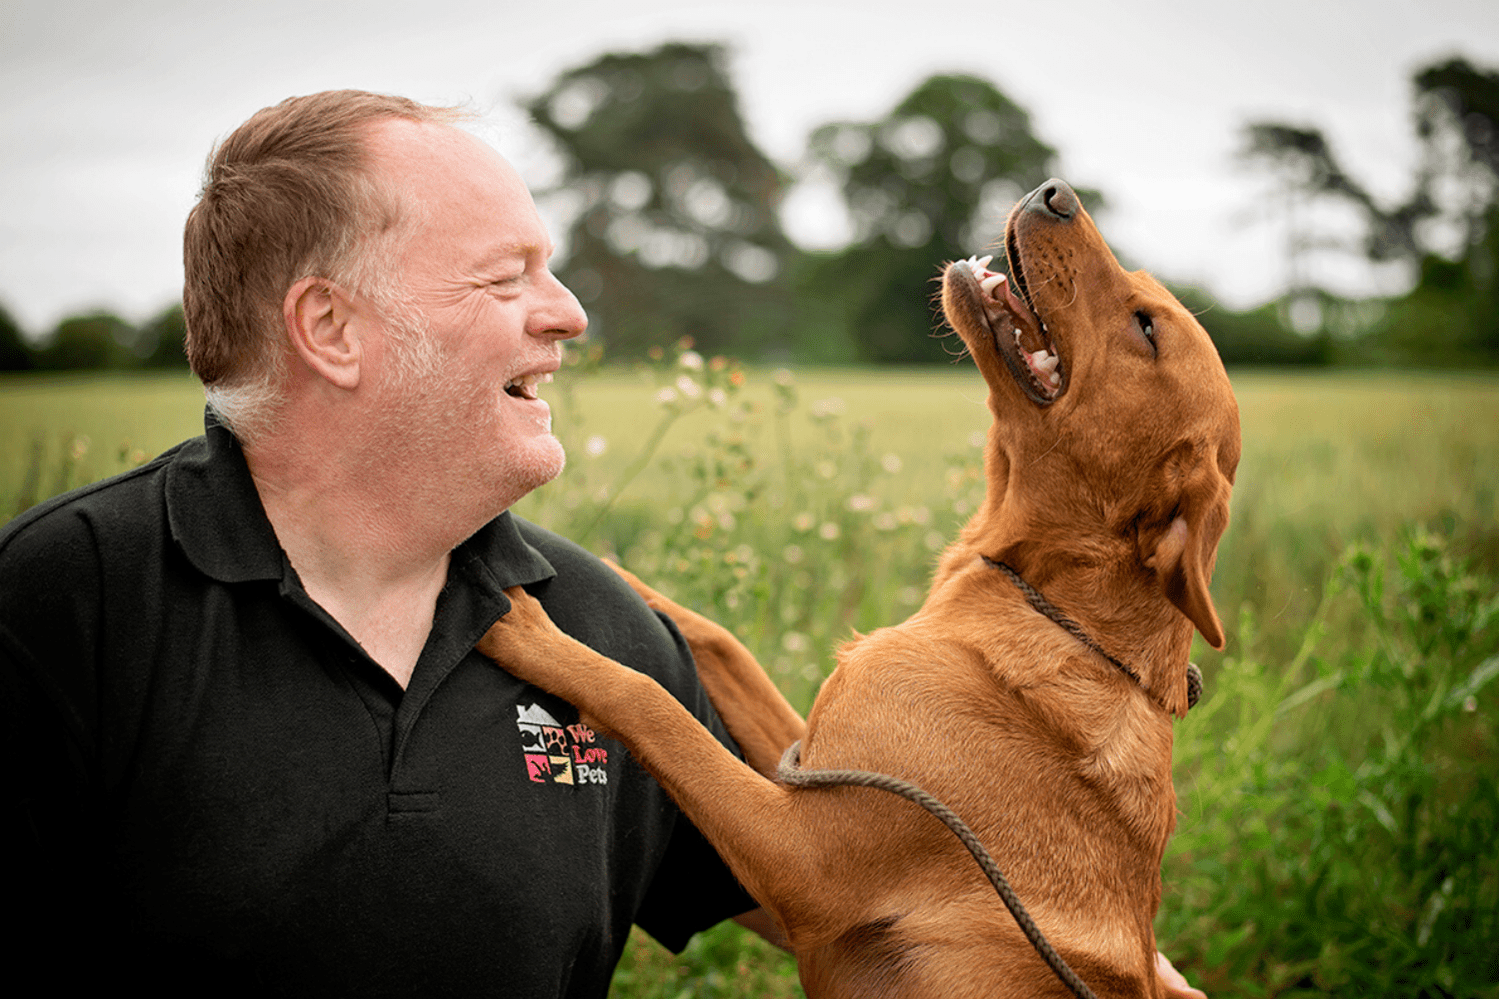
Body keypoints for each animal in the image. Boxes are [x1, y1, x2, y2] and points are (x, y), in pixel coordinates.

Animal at [482, 180, 1241, 996]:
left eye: (1145, 327)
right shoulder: (805, 769)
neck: (1035, 600)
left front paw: (527, 629)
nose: (1054, 194)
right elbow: (716, 638)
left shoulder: (801, 858)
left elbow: (649, 702)